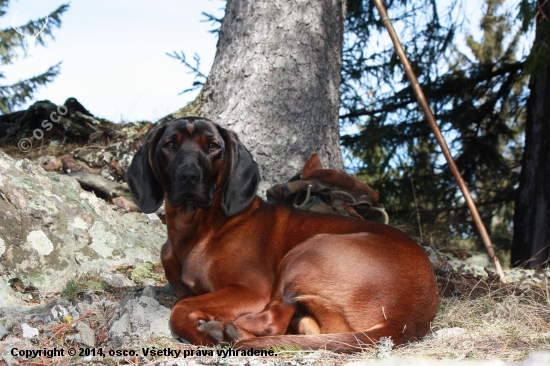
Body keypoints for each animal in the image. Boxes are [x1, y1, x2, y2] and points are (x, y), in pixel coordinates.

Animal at [126, 117, 440, 352]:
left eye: (213, 146)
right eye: (169, 145)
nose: (189, 176)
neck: (196, 228)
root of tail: (407, 317)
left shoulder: (251, 290)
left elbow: (180, 308)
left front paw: (202, 329)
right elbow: (183, 300)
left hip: (305, 254)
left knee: (273, 319)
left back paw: (227, 330)